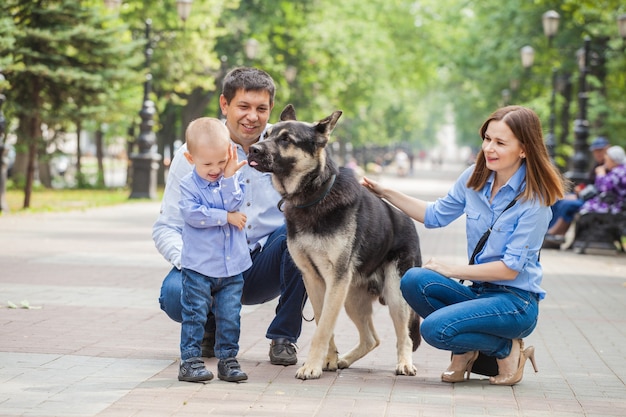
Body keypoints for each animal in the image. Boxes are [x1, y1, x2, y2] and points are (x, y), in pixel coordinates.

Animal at [247, 105, 420, 380]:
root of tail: (408, 220)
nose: (253, 149)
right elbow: (322, 323)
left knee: (404, 335)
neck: (313, 196)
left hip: (394, 295)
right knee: (372, 339)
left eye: (286, 139)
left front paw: (311, 366)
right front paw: (326, 360)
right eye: (266, 134)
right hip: (351, 298)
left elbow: (322, 329)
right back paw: (344, 360)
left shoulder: (335, 280)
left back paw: (404, 364)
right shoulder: (314, 280)